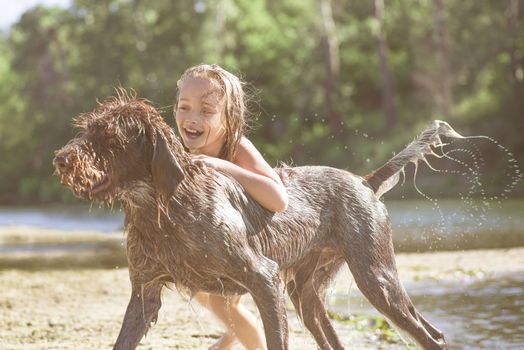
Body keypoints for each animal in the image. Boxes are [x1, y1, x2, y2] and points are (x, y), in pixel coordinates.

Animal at [52, 91, 458, 348]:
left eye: (109, 135)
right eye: (86, 128)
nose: (60, 158)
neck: (162, 208)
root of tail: (364, 181)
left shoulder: (264, 278)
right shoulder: (144, 293)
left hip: (377, 279)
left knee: (432, 337)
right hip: (307, 297)